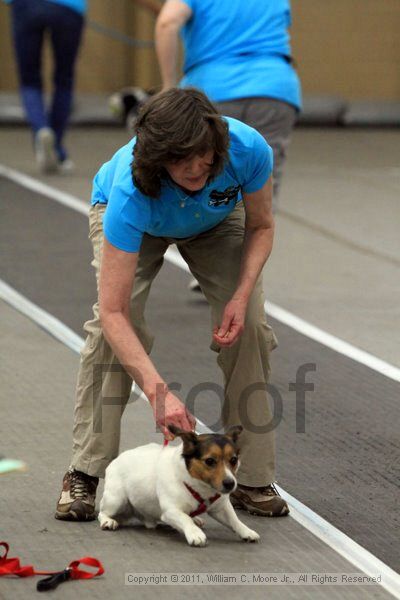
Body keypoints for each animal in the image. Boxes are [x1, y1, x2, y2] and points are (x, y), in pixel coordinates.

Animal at [97, 424, 260, 548]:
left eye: (233, 460)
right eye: (210, 461)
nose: (230, 483)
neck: (200, 487)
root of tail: (115, 460)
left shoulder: (221, 508)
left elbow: (234, 520)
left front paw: (246, 531)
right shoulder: (171, 511)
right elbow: (184, 518)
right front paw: (195, 533)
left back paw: (196, 519)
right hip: (117, 499)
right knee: (103, 512)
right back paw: (107, 521)